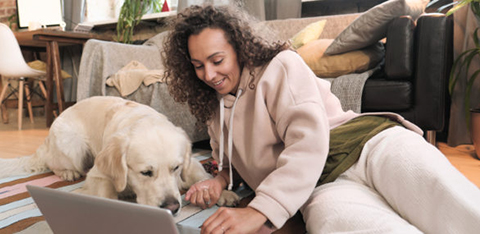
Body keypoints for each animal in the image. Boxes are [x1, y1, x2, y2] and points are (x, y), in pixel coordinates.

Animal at [0, 96, 240, 215]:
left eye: (176, 168)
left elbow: (200, 176)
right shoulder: (98, 174)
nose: (172, 208)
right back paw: (67, 172)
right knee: (54, 163)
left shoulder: (189, 164)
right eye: (146, 172)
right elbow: (106, 193)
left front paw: (221, 193)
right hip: (72, 145)